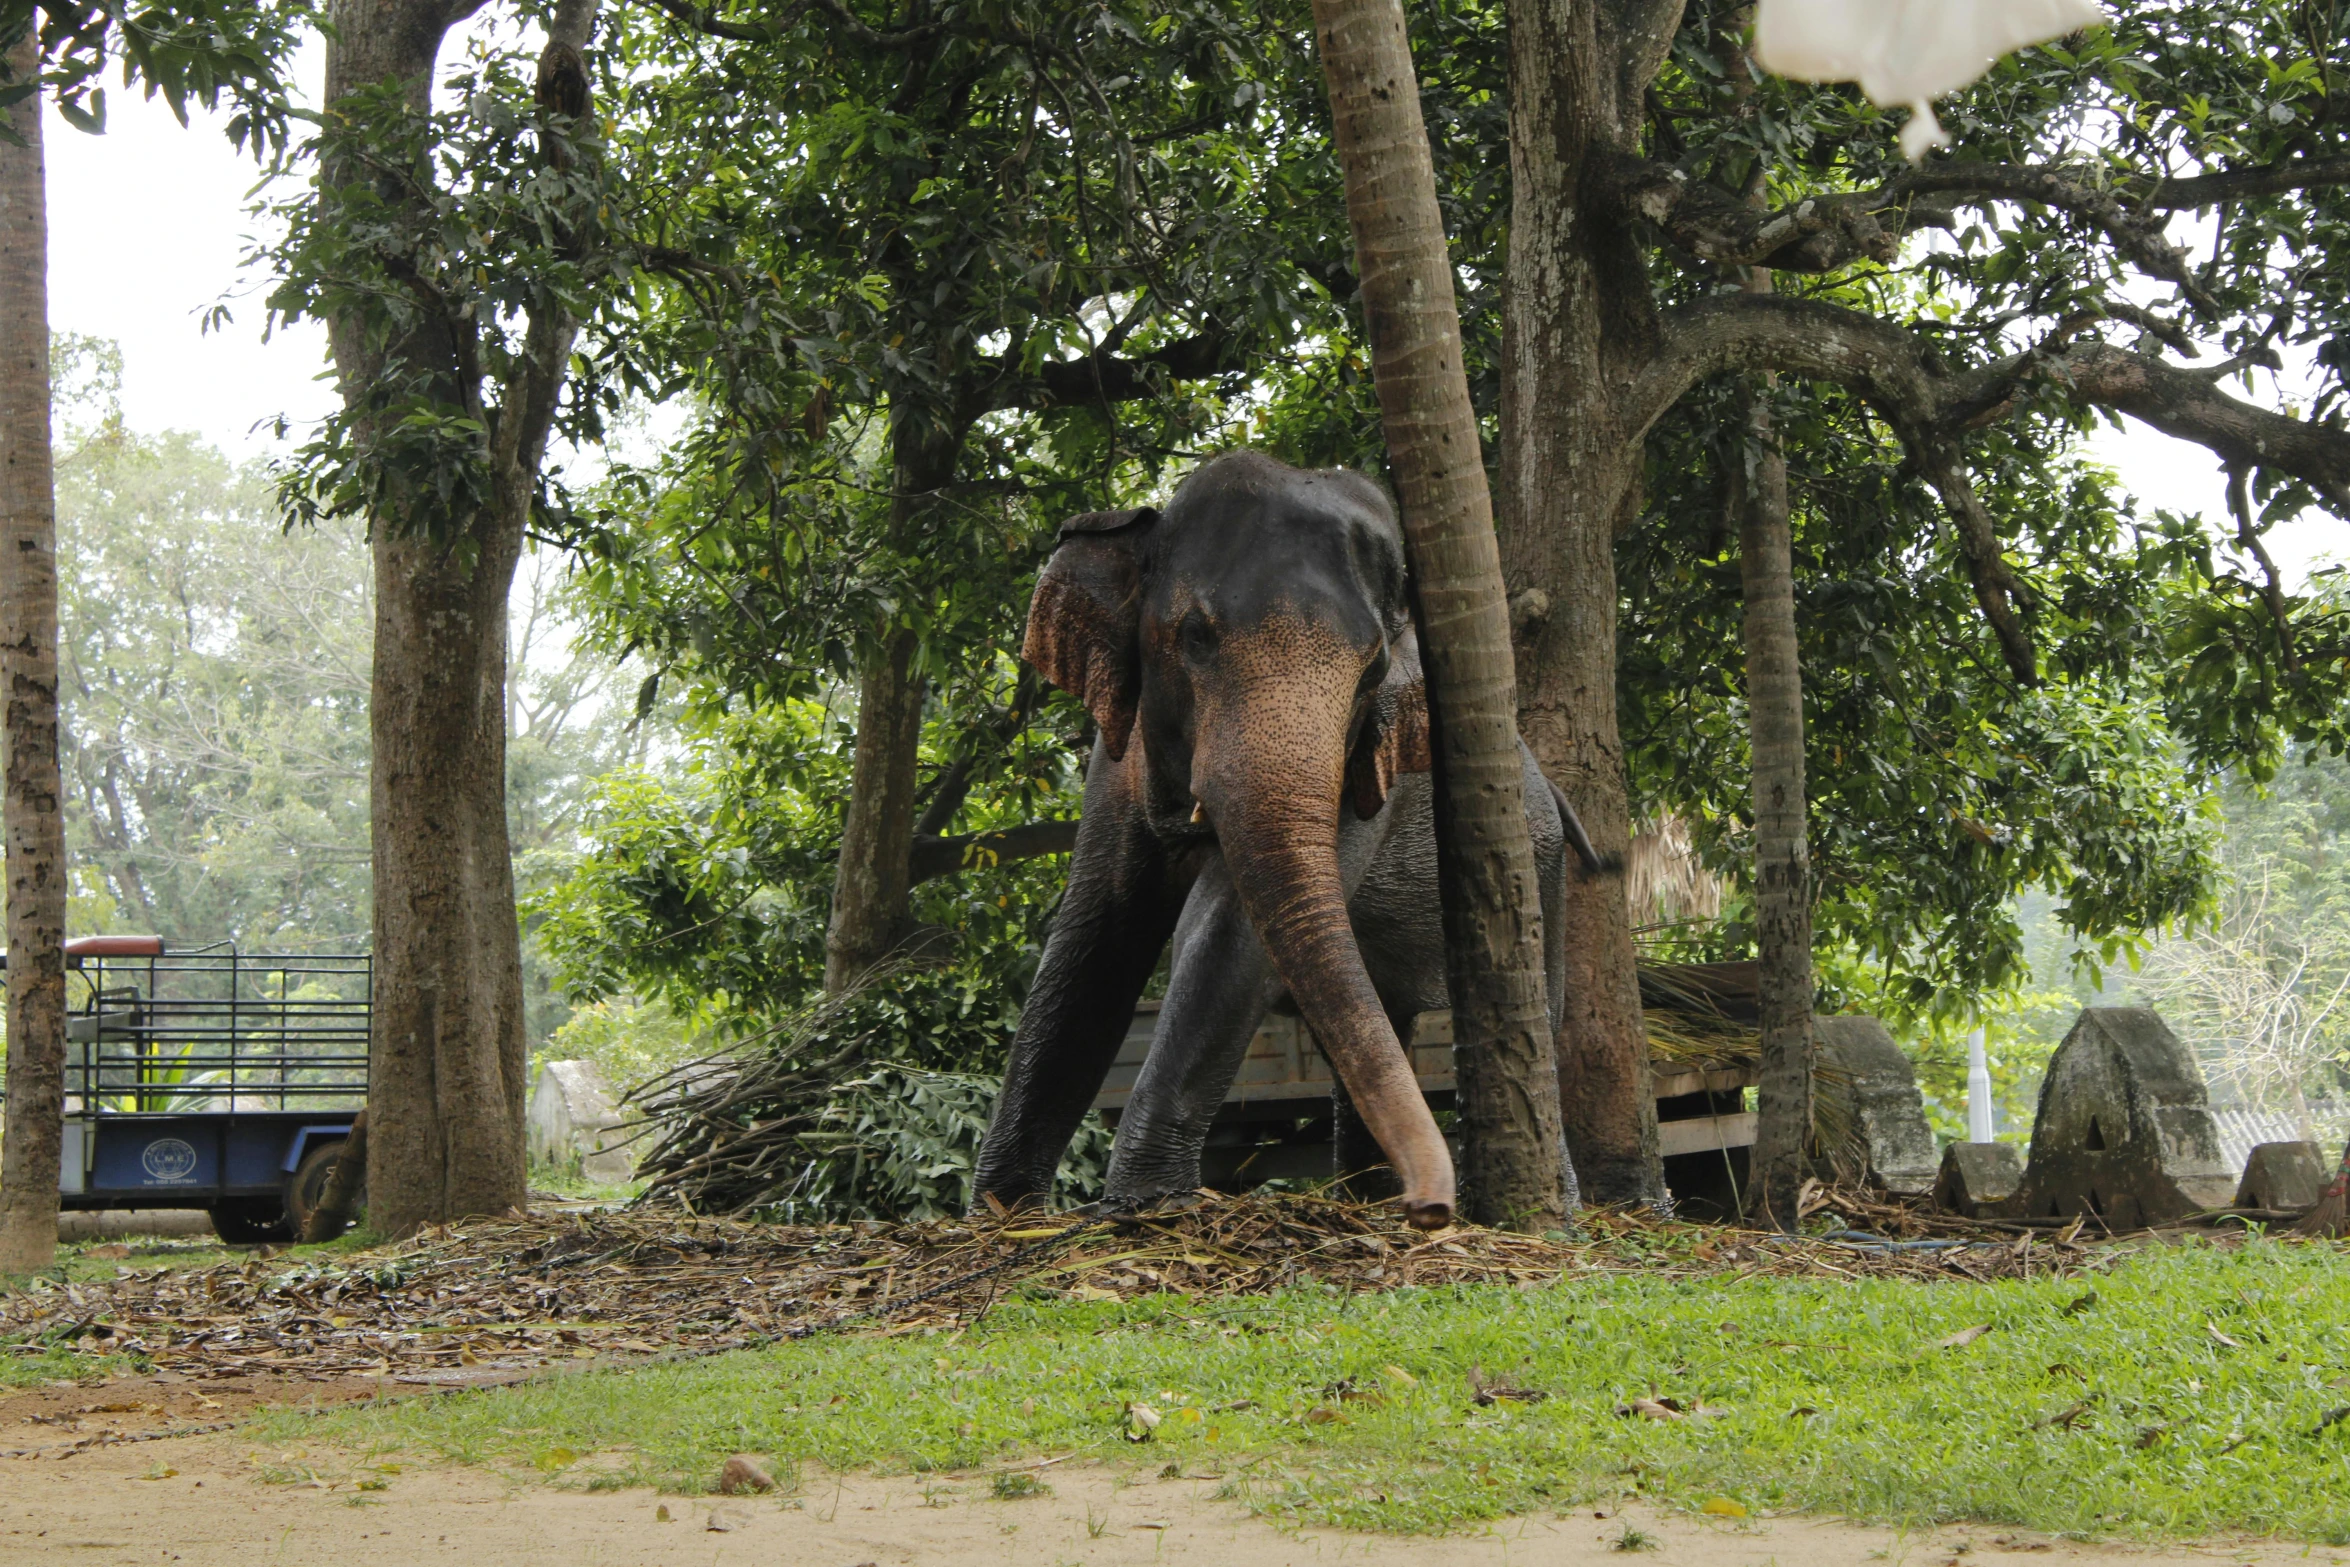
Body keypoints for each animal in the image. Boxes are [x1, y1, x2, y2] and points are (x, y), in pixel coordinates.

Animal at [963, 446, 1607, 1231]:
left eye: (1372, 670)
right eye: (1194, 635)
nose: (1434, 1210)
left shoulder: (1364, 780)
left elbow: (1223, 934)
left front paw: (1147, 1207)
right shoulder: (1114, 767)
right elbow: (1095, 941)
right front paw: (1002, 1213)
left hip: (1540, 870)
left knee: (1537, 1014)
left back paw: (1550, 1213)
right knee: (1378, 1020)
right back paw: (1368, 1200)